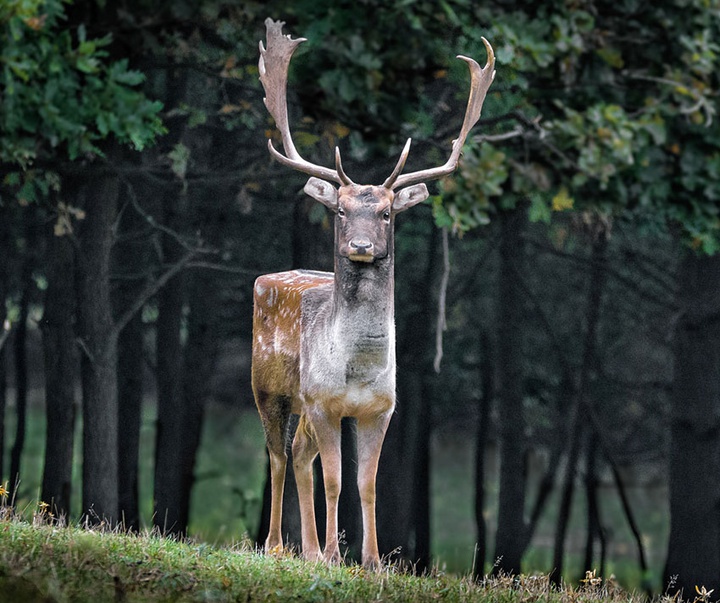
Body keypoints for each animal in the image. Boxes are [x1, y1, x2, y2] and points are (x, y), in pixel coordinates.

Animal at [253, 16, 496, 568]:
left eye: (386, 212)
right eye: (341, 210)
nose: (361, 245)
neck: (358, 371)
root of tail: (265, 280)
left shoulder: (381, 409)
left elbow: (366, 483)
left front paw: (371, 559)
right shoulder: (323, 401)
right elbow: (336, 480)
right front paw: (335, 555)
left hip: (301, 405)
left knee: (298, 453)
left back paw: (307, 550)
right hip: (269, 388)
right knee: (277, 454)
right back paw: (278, 546)